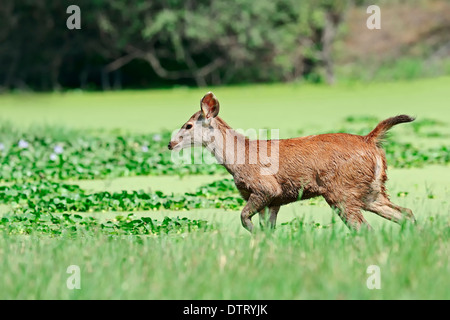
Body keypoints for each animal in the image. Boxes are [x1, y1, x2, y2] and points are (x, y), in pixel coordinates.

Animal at [170, 91, 418, 231]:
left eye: (188, 125)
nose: (170, 144)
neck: (237, 160)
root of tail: (370, 139)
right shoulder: (274, 201)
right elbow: (269, 230)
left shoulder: (266, 188)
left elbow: (243, 218)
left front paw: (255, 235)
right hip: (371, 190)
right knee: (406, 213)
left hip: (341, 190)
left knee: (363, 228)